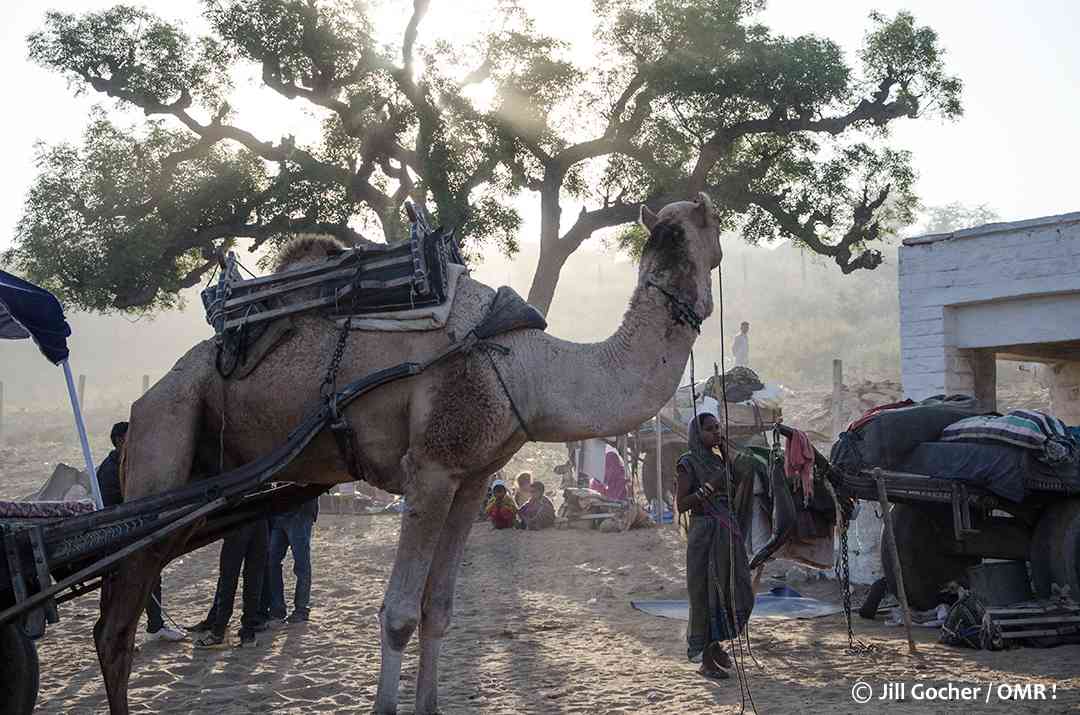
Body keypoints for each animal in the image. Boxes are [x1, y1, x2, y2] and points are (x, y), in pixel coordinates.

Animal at [95, 194, 722, 714]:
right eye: (714, 236)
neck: (526, 368)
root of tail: (148, 396)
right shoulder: (430, 470)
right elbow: (398, 614)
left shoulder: (473, 479)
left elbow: (438, 610)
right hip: (165, 434)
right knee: (114, 626)